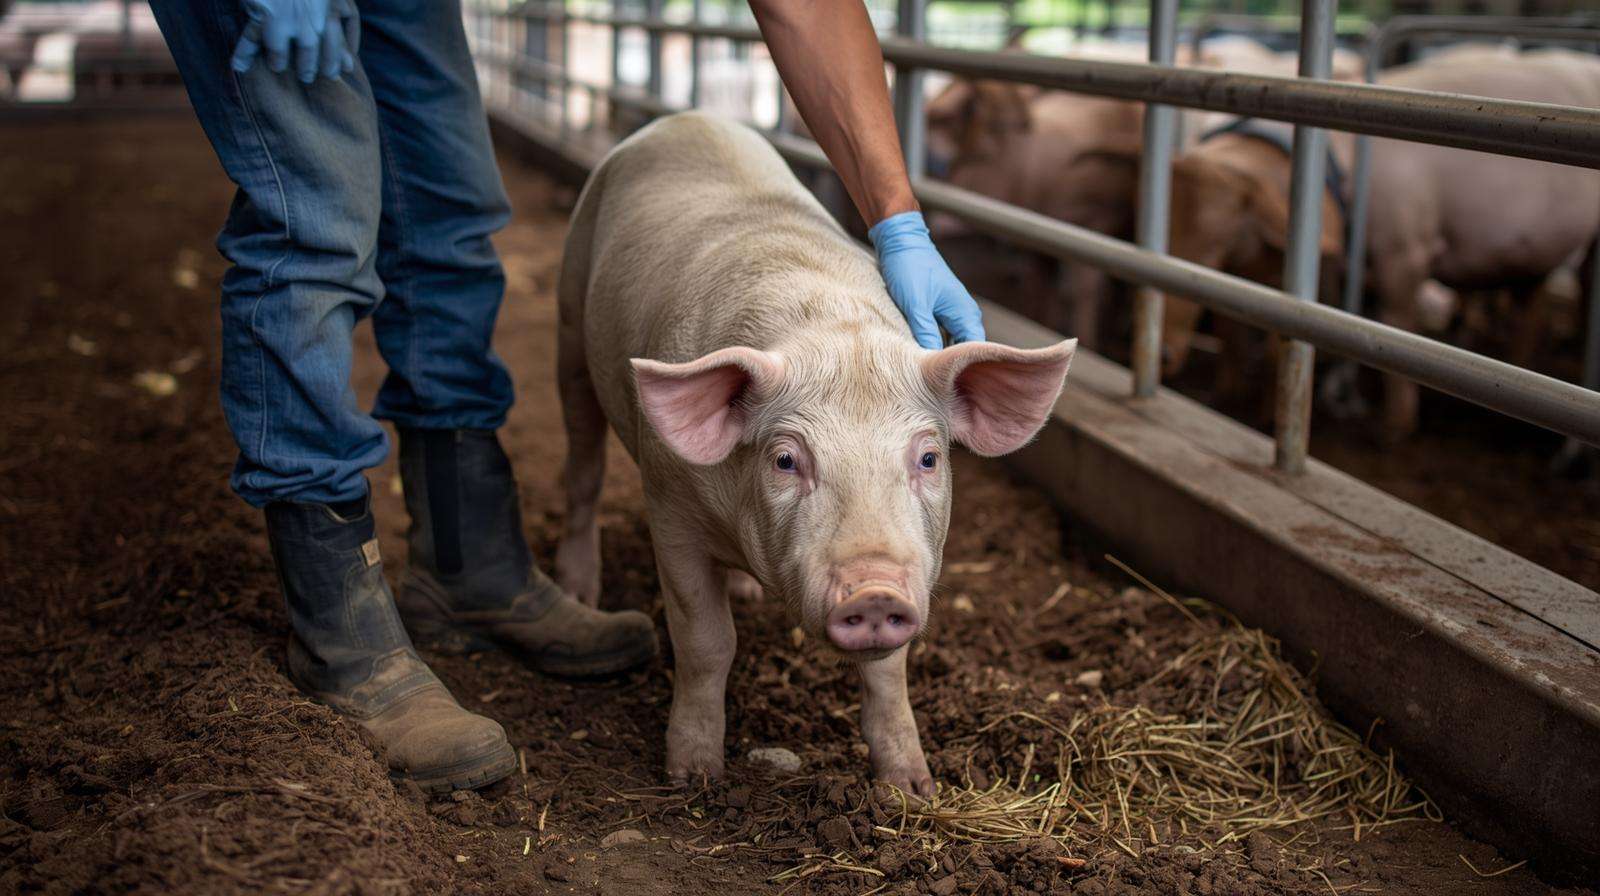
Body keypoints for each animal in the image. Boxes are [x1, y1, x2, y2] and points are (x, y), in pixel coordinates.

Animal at [554, 112, 1076, 795]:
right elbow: (706, 641)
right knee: (582, 467)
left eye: (929, 459)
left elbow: (888, 672)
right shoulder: (669, 509)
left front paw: (913, 789)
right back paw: (581, 594)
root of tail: (686, 117)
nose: (875, 591)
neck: (828, 326)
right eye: (785, 460)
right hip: (570, 322)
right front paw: (692, 776)